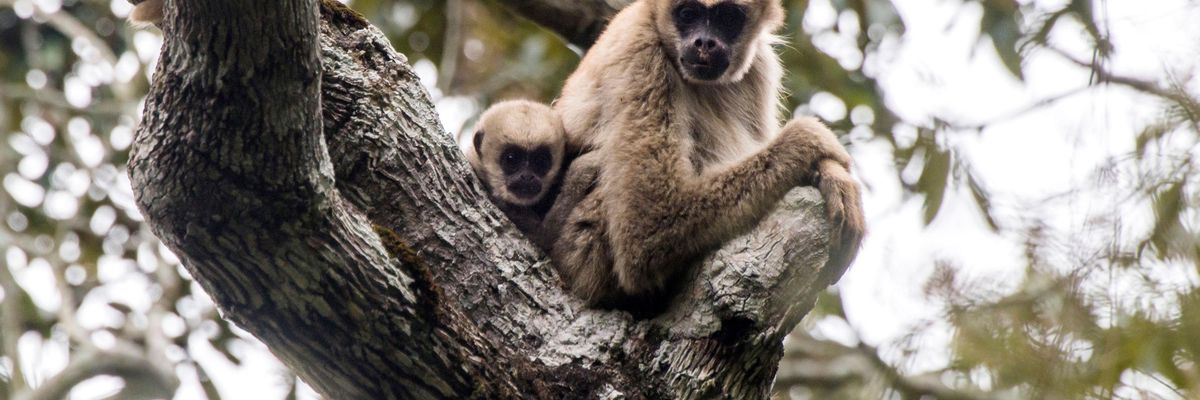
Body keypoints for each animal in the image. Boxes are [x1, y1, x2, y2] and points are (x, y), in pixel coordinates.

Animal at [545, 0, 866, 308]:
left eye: (727, 17)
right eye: (688, 14)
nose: (705, 42)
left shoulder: (760, 64)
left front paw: (830, 173)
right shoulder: (638, 49)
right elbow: (645, 232)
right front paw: (810, 140)